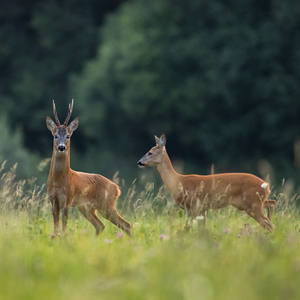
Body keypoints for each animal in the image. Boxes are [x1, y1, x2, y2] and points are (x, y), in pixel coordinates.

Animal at [46, 101, 131, 237]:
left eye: (68, 136)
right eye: (55, 136)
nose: (61, 147)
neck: (58, 181)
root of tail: (117, 188)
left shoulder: (67, 200)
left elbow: (63, 229)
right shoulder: (53, 201)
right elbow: (56, 229)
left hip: (106, 204)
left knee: (126, 224)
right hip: (86, 207)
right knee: (101, 225)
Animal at [137, 135, 276, 231]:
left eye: (150, 152)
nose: (139, 162)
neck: (178, 182)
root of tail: (266, 185)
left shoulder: (193, 206)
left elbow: (187, 228)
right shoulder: (202, 209)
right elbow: (201, 230)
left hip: (252, 204)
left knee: (269, 225)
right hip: (253, 203)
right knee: (272, 205)